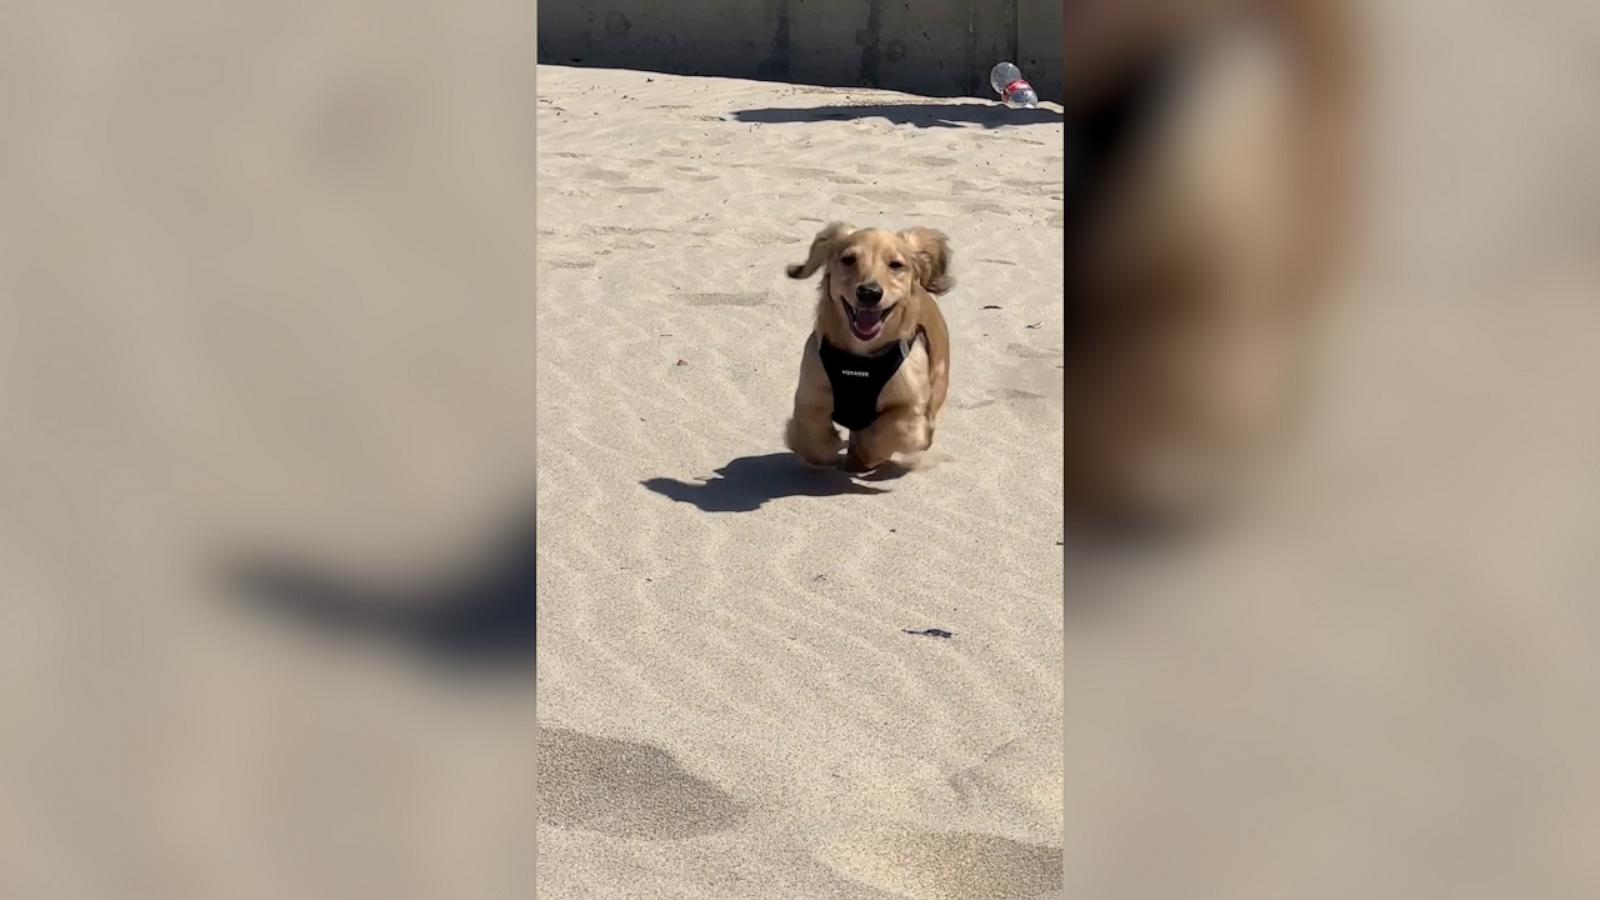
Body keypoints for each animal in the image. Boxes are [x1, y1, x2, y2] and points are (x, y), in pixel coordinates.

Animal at [784, 222, 947, 470]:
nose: (869, 292)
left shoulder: (911, 411)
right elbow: (811, 438)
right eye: (848, 259)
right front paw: (830, 448)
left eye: (896, 265)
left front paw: (863, 453)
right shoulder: (809, 397)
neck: (860, 359)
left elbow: (888, 431)